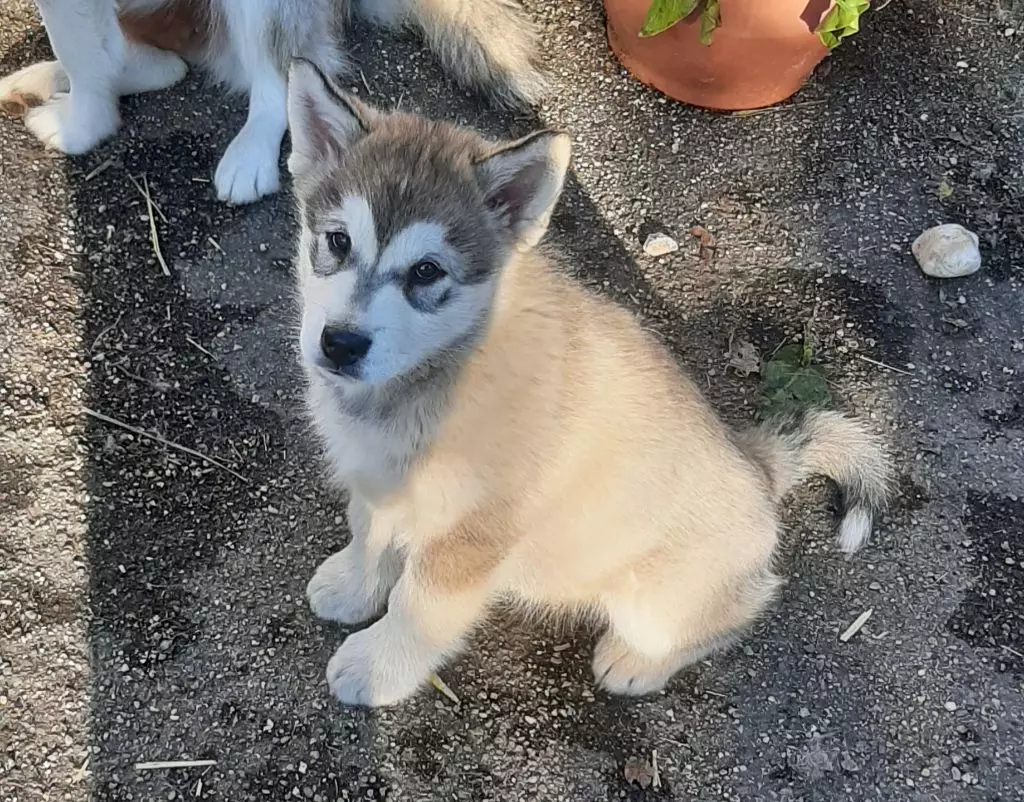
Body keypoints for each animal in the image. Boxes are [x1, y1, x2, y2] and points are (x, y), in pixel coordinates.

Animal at [286, 59, 888, 704]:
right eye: (338, 241)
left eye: (427, 272)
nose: (340, 344)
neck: (439, 370)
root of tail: (759, 466)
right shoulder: (379, 485)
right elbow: (368, 537)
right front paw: (353, 587)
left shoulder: (468, 542)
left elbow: (417, 606)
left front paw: (376, 668)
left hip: (654, 602)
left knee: (742, 606)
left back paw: (637, 661)